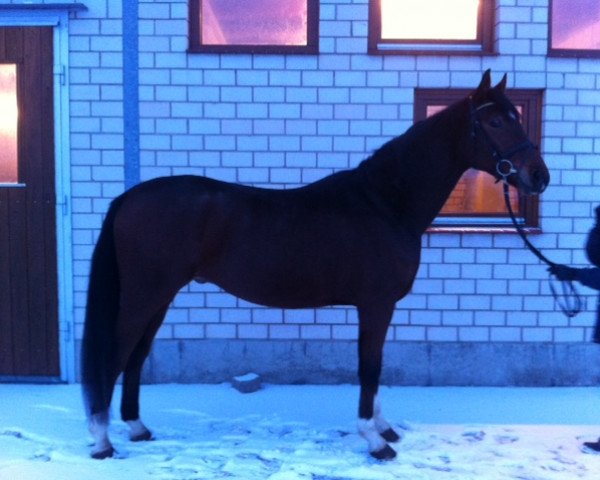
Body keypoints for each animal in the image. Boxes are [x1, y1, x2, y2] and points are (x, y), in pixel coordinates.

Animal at [82, 69, 552, 460]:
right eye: (496, 122)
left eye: (517, 115)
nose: (539, 176)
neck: (385, 203)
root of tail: (129, 197)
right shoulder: (375, 304)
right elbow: (369, 366)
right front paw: (375, 441)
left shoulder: (380, 307)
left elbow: (376, 364)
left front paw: (384, 428)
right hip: (145, 296)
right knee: (116, 354)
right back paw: (103, 442)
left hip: (160, 298)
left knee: (137, 356)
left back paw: (138, 428)